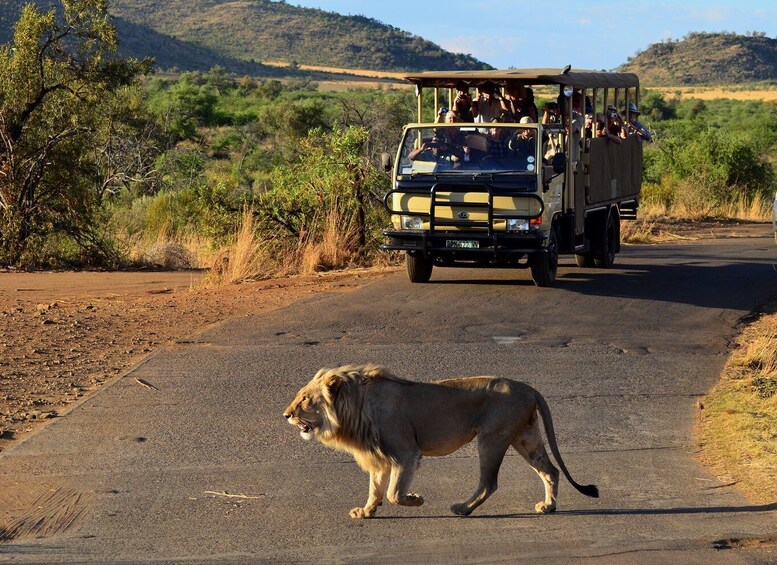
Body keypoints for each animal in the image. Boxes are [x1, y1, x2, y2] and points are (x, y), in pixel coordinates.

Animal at [282, 364, 596, 516]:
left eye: (305, 399)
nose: (286, 415)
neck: (355, 406)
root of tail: (529, 388)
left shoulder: (406, 453)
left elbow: (394, 492)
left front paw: (416, 500)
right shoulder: (378, 457)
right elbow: (375, 488)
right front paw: (367, 511)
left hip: (491, 438)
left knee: (489, 482)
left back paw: (463, 509)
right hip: (525, 437)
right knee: (550, 470)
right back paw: (549, 506)